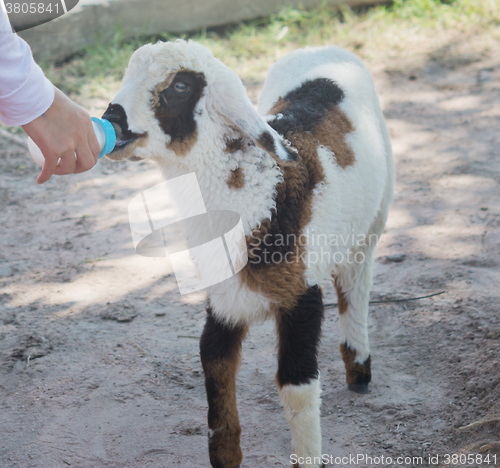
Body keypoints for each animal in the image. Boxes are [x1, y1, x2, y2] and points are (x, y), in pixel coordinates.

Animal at [102, 40, 394, 468]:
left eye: (180, 86)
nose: (112, 118)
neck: (264, 191)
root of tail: (322, 47)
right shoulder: (222, 299)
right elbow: (215, 365)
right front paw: (226, 454)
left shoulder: (301, 294)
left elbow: (296, 383)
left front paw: (308, 456)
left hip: (374, 220)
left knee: (355, 288)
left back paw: (359, 369)